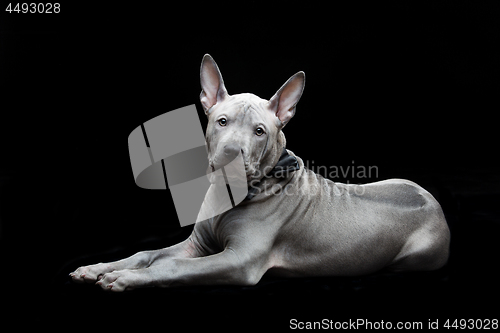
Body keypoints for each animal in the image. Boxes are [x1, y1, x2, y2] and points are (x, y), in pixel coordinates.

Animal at [70, 54, 450, 290]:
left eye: (259, 131)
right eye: (221, 121)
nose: (230, 154)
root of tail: (432, 201)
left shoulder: (237, 261)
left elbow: (172, 267)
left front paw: (127, 278)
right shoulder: (196, 245)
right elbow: (144, 254)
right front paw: (99, 268)